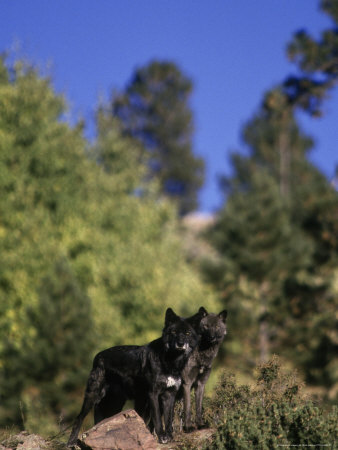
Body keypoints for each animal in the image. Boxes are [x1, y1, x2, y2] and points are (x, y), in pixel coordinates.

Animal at [67, 308, 199, 444]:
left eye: (187, 333)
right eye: (173, 332)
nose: (180, 343)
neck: (170, 361)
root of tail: (98, 356)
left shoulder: (169, 394)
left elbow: (168, 420)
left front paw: (169, 437)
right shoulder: (153, 394)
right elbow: (157, 418)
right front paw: (162, 437)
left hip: (115, 404)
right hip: (93, 396)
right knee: (78, 418)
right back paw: (71, 442)